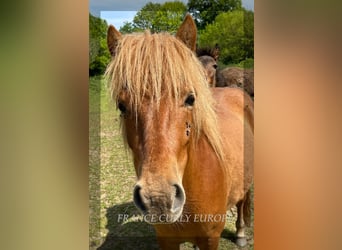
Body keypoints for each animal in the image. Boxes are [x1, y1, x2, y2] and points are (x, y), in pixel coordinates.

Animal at [106, 15, 254, 250]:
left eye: (190, 99)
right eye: (122, 106)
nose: (158, 198)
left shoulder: (211, 239)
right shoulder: (166, 240)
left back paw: (240, 233)